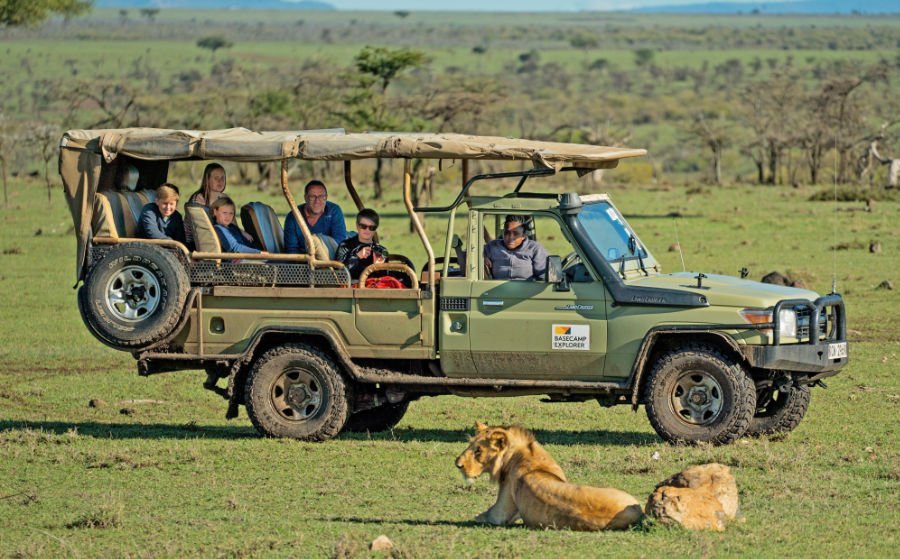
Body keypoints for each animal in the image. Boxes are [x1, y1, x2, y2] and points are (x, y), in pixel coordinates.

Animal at [454, 422, 644, 532]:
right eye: (470, 445)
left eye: (478, 451)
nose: (458, 464)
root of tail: (638, 513)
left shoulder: (500, 512)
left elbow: (483, 516)